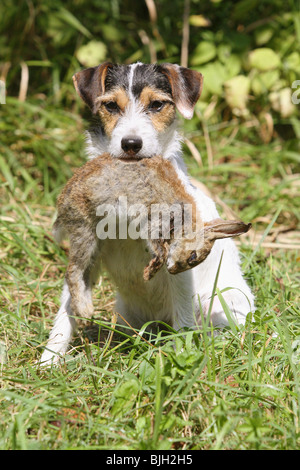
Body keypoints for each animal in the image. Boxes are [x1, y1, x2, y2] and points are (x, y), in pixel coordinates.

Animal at [40, 62, 255, 366]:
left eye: (156, 104)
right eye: (111, 106)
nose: (131, 143)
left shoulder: (179, 271)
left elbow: (183, 317)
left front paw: (182, 357)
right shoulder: (89, 250)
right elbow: (67, 304)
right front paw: (49, 360)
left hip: (227, 302)